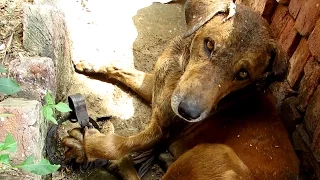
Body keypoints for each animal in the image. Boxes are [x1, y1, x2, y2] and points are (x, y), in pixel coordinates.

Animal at [63, 0, 300, 179]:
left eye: (243, 74)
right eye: (209, 44)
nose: (188, 112)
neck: (180, 68)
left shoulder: (161, 131)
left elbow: (121, 143)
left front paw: (88, 144)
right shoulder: (160, 91)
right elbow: (123, 70)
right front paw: (91, 64)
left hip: (215, 152)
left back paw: (123, 164)